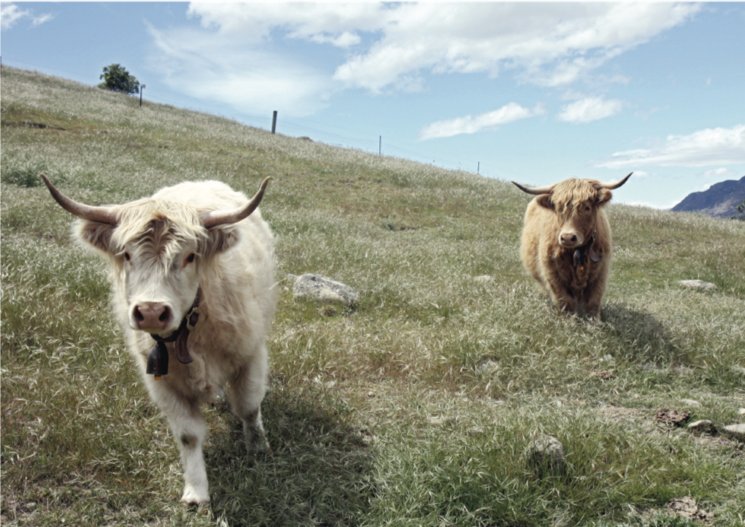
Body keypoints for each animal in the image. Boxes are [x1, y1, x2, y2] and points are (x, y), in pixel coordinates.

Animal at [41, 175, 278, 507]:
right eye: (127, 255)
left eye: (190, 256)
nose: (151, 312)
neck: (190, 335)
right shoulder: (162, 382)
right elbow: (188, 434)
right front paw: (196, 491)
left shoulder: (251, 355)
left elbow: (248, 406)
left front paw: (258, 449)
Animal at [512, 173, 632, 319]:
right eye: (558, 208)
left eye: (587, 207)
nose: (568, 237)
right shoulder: (552, 272)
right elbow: (565, 300)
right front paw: (569, 320)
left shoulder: (601, 272)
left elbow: (593, 301)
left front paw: (594, 321)